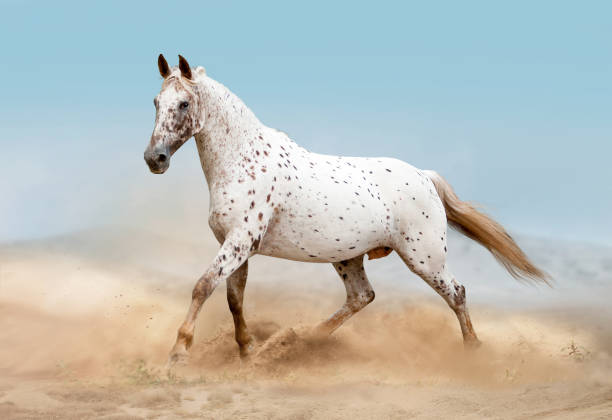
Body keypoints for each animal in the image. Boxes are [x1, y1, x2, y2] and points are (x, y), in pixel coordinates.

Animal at [145, 55, 548, 364]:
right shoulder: (235, 245)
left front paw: (178, 352)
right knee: (362, 296)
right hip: (348, 256)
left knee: (457, 293)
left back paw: (472, 350)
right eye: (155, 102)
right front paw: (247, 351)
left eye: (184, 104)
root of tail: (424, 176)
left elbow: (203, 287)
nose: (155, 159)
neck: (243, 159)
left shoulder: (240, 241)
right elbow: (233, 298)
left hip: (425, 259)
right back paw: (305, 338)